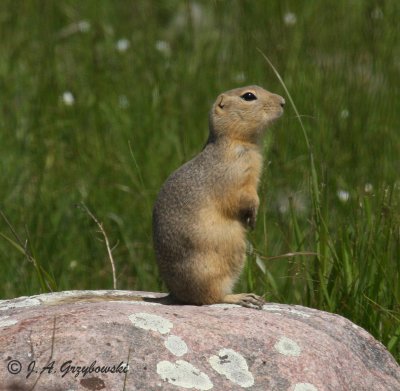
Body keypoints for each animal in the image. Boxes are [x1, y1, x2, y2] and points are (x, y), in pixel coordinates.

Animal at [153, 85, 284, 310]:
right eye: (249, 96)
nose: (283, 101)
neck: (235, 141)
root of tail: (174, 294)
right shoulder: (238, 177)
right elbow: (245, 198)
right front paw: (253, 217)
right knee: (211, 298)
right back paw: (242, 297)